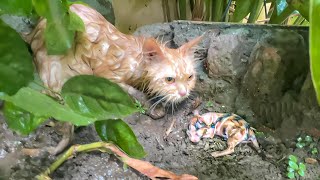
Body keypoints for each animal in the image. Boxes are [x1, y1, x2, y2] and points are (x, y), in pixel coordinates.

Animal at [28, 3, 202, 119]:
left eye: (190, 77)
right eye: (169, 79)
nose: (184, 93)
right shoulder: (107, 76)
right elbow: (134, 93)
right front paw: (152, 107)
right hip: (75, 68)